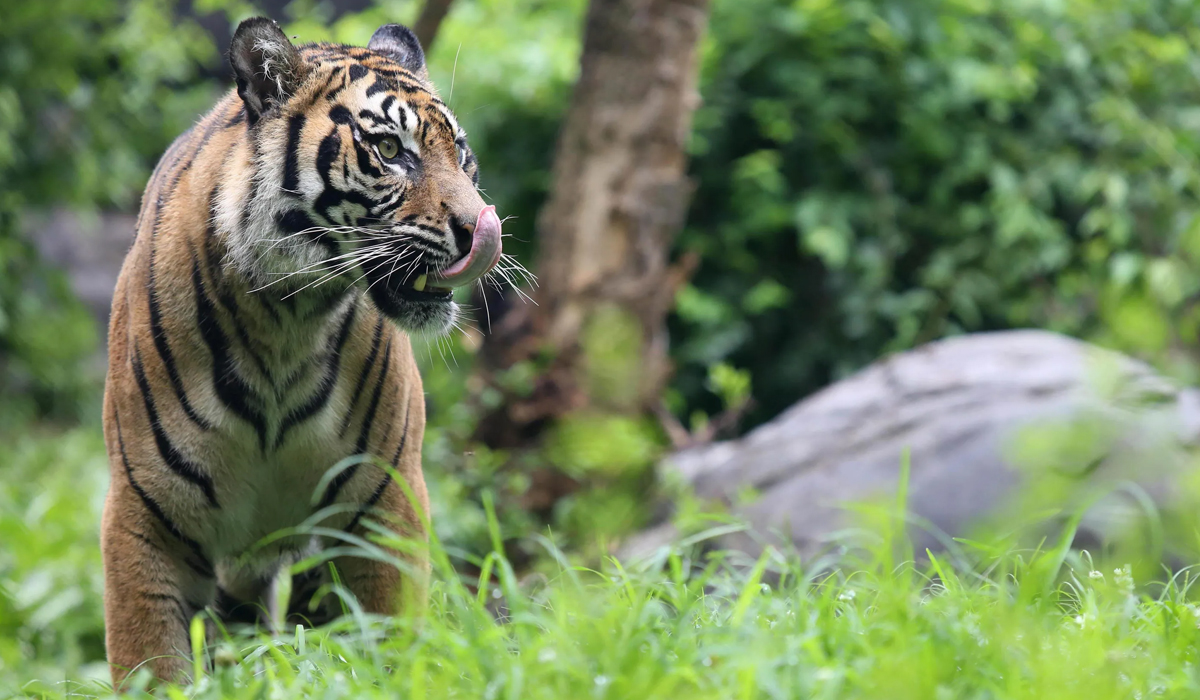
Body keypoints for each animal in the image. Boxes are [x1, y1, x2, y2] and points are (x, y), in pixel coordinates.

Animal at [98, 17, 501, 686]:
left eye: (461, 154)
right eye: (390, 150)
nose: (482, 231)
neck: (284, 322)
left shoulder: (382, 503)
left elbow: (389, 644)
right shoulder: (144, 517)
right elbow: (151, 667)